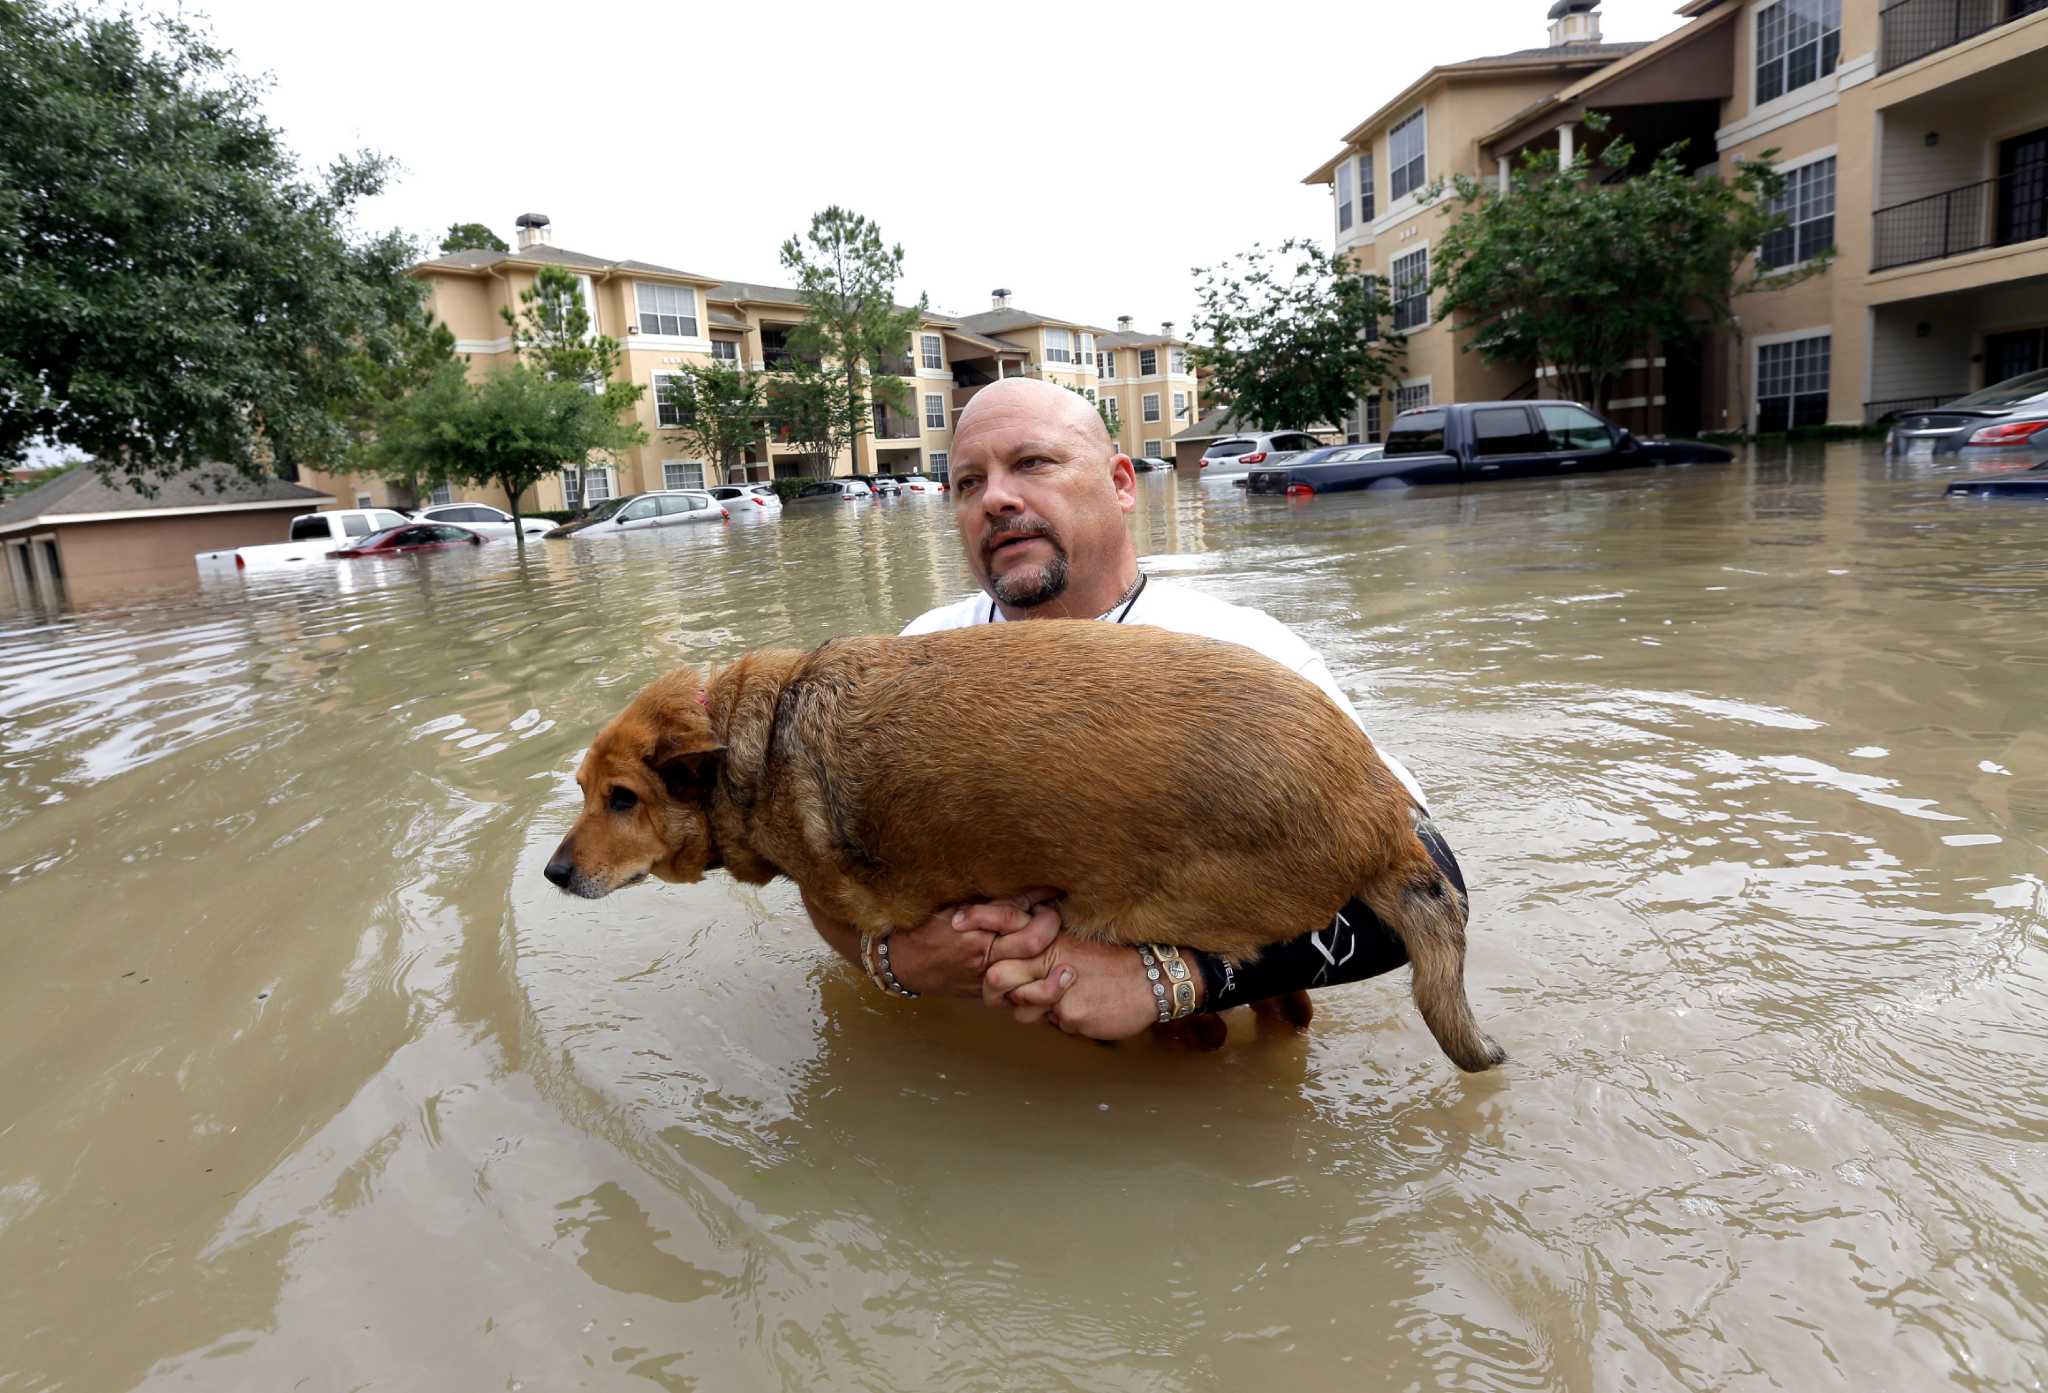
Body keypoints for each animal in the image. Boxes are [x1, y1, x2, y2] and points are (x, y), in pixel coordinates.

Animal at [544, 622, 1507, 1073]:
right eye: (583, 789)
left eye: (623, 799)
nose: (553, 872)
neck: (764, 736)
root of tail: (1380, 806)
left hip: (1143, 911)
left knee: (1248, 1007)